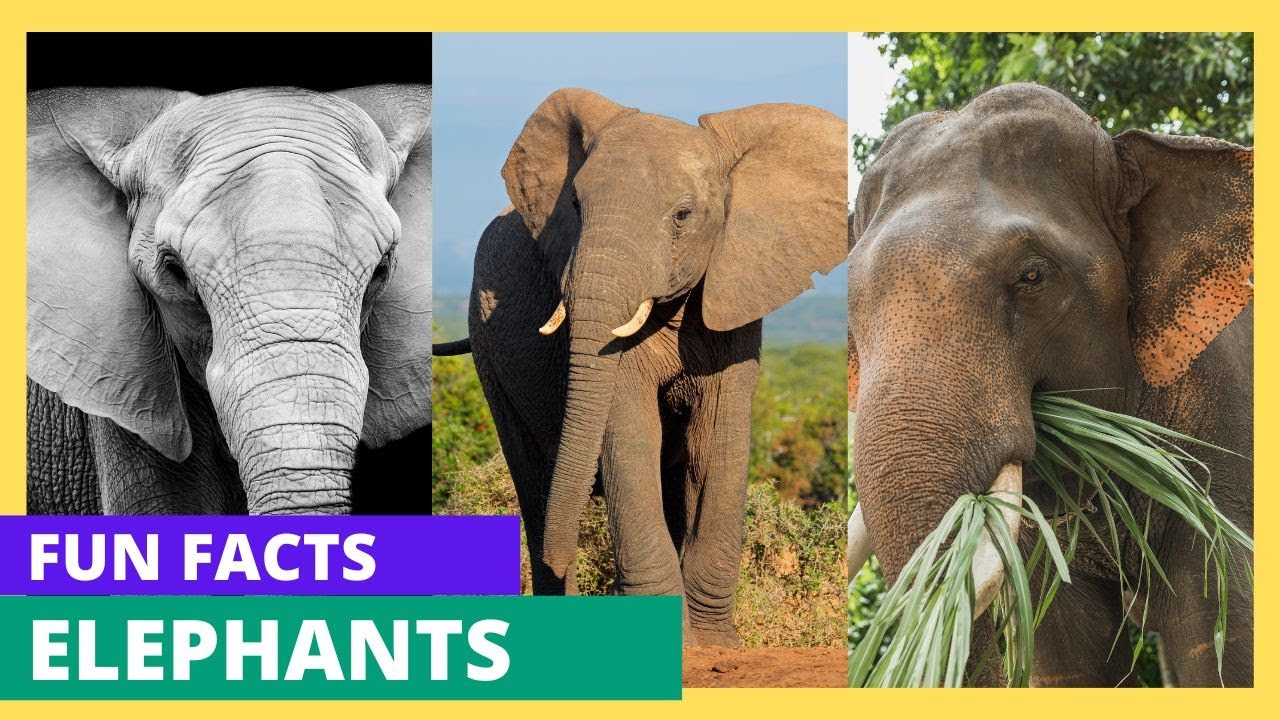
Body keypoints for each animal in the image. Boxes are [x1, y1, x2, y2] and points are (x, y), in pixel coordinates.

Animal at [436, 88, 846, 645]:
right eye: (575, 205)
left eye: (683, 216)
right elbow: (630, 432)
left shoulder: (735, 292)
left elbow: (714, 440)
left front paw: (712, 644)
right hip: (487, 349)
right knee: (534, 478)